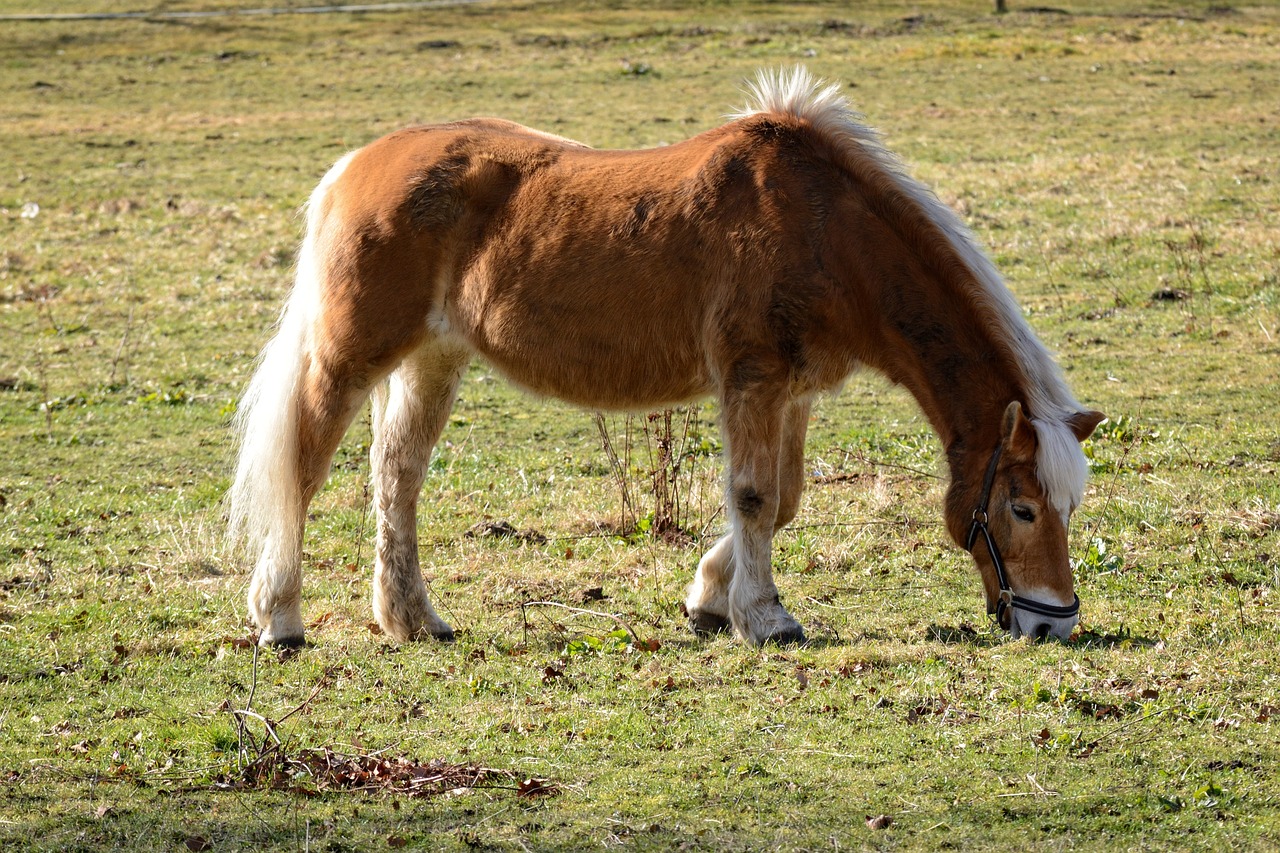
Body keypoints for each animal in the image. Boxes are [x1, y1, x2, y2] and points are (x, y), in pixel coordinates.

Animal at [227, 69, 1100, 648]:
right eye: (1022, 507)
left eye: (1068, 508)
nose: (1052, 621)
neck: (825, 230)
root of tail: (354, 167)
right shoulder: (752, 380)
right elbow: (754, 496)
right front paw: (766, 618)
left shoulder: (794, 392)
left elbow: (784, 498)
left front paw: (710, 600)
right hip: (349, 357)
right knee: (303, 469)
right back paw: (281, 618)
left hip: (434, 360)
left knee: (397, 478)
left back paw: (413, 619)